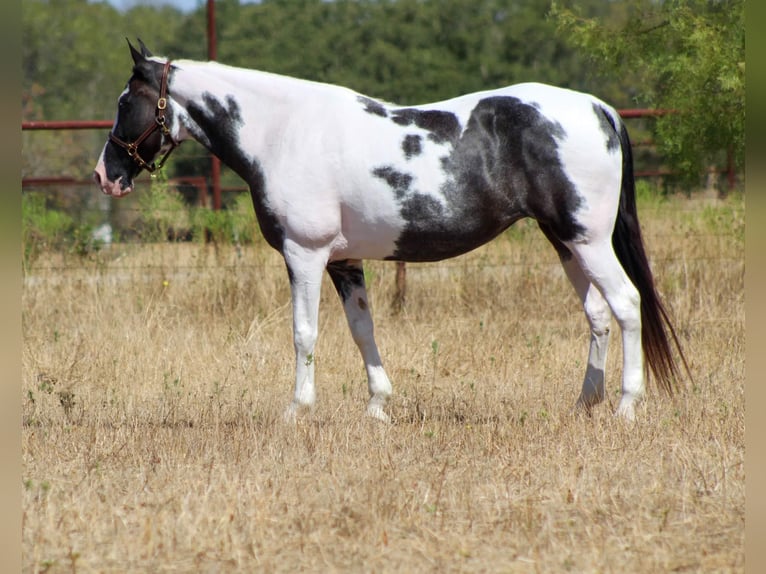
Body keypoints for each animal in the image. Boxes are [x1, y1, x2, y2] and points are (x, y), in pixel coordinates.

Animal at [93, 41, 688, 424]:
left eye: (125, 102)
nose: (105, 175)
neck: (283, 131)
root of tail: (599, 108)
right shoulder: (343, 261)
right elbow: (363, 330)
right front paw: (378, 406)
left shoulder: (304, 254)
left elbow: (304, 333)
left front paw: (296, 411)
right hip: (565, 242)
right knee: (597, 315)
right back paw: (584, 404)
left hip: (588, 240)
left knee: (626, 305)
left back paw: (626, 407)